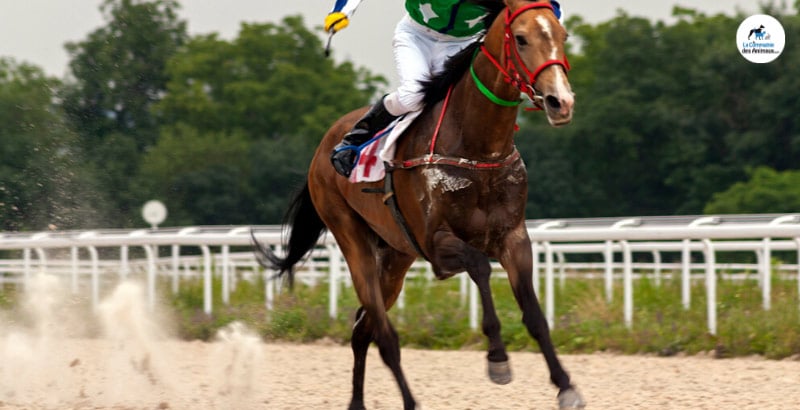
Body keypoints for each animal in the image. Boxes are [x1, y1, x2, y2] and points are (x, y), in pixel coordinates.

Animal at [253, 1, 584, 408]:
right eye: (520, 38)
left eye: (562, 35)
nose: (560, 101)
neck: (478, 149)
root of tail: (324, 146)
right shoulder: (436, 243)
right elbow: (479, 266)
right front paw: (497, 358)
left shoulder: (514, 238)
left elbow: (535, 315)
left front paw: (565, 385)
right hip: (352, 240)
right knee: (384, 336)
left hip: (396, 257)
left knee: (362, 330)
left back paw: (358, 401)